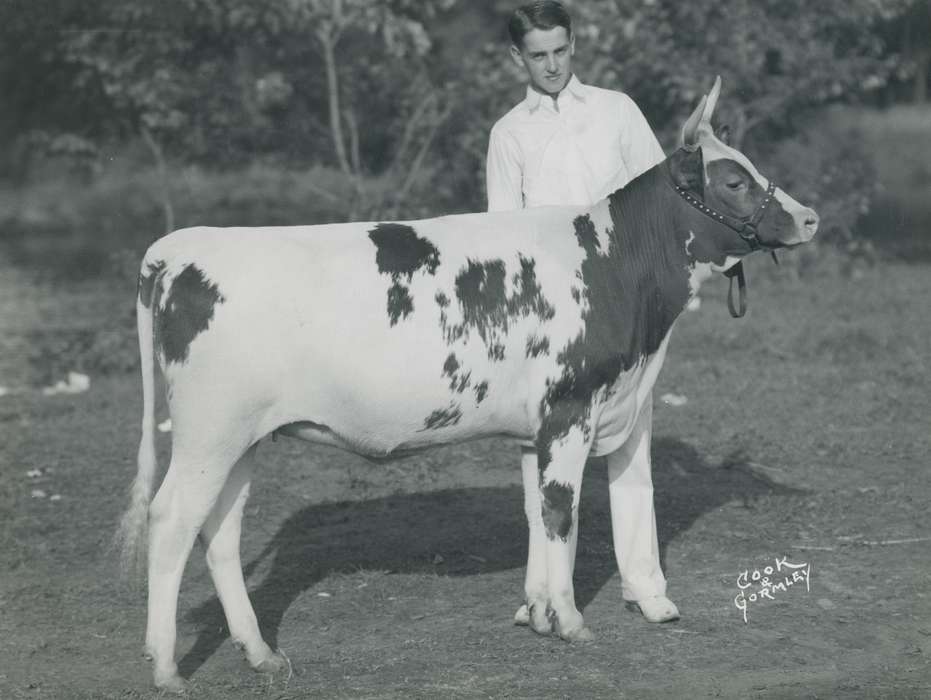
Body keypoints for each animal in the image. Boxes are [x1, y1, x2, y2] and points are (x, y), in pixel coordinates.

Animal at [118, 77, 818, 692]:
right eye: (733, 179)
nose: (809, 218)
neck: (613, 262)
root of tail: (178, 250)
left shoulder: (550, 422)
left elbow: (538, 510)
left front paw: (540, 612)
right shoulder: (569, 407)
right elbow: (561, 510)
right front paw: (569, 621)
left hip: (243, 437)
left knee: (220, 532)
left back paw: (261, 654)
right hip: (209, 432)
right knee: (173, 521)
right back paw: (166, 667)